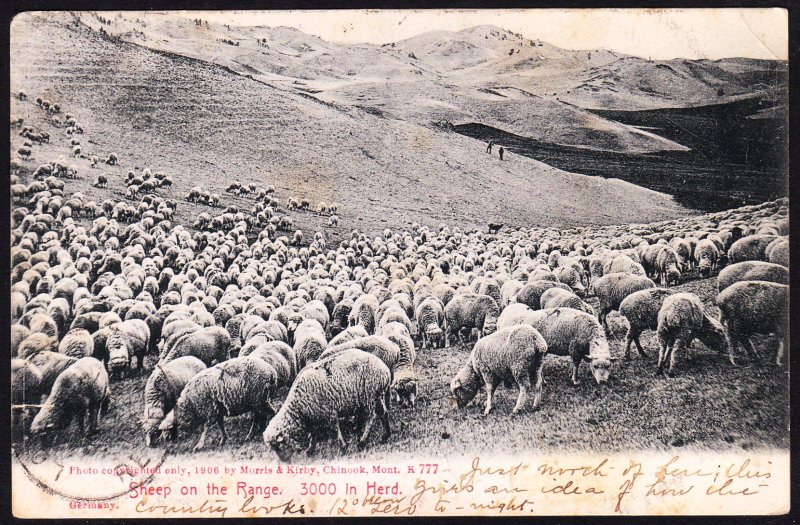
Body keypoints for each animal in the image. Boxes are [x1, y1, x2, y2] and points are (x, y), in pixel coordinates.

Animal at [262, 348, 390, 458]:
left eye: (279, 446)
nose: (284, 461)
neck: (298, 404)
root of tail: (385, 370)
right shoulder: (313, 415)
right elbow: (312, 434)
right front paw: (310, 450)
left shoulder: (329, 411)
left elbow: (335, 429)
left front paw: (343, 447)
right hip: (377, 396)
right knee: (383, 412)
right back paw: (385, 436)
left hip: (369, 396)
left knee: (370, 418)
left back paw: (362, 442)